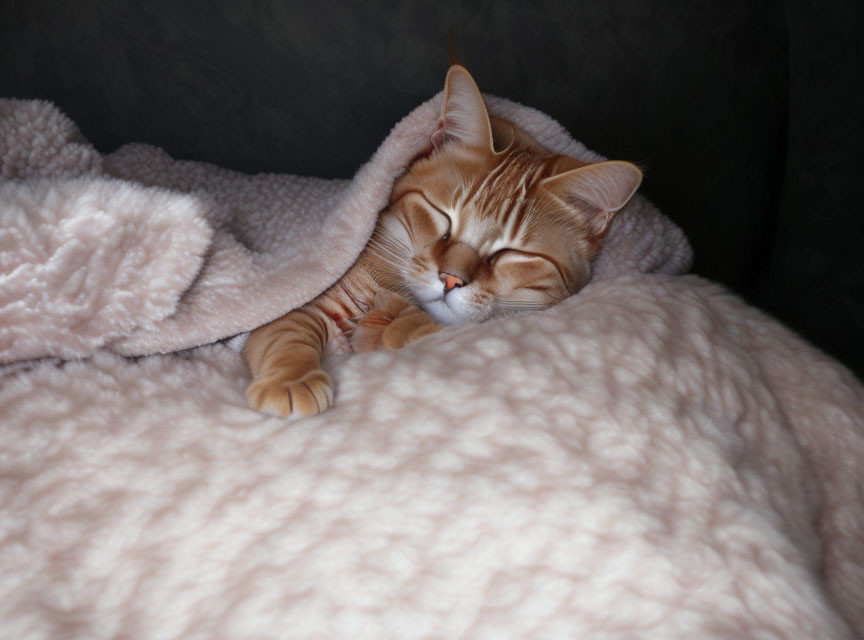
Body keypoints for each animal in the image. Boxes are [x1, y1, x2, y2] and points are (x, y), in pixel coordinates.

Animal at [243, 62, 640, 418]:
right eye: (443, 215)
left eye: (511, 252)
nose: (450, 280)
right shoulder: (308, 305)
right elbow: (287, 331)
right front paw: (291, 380)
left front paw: (399, 329)